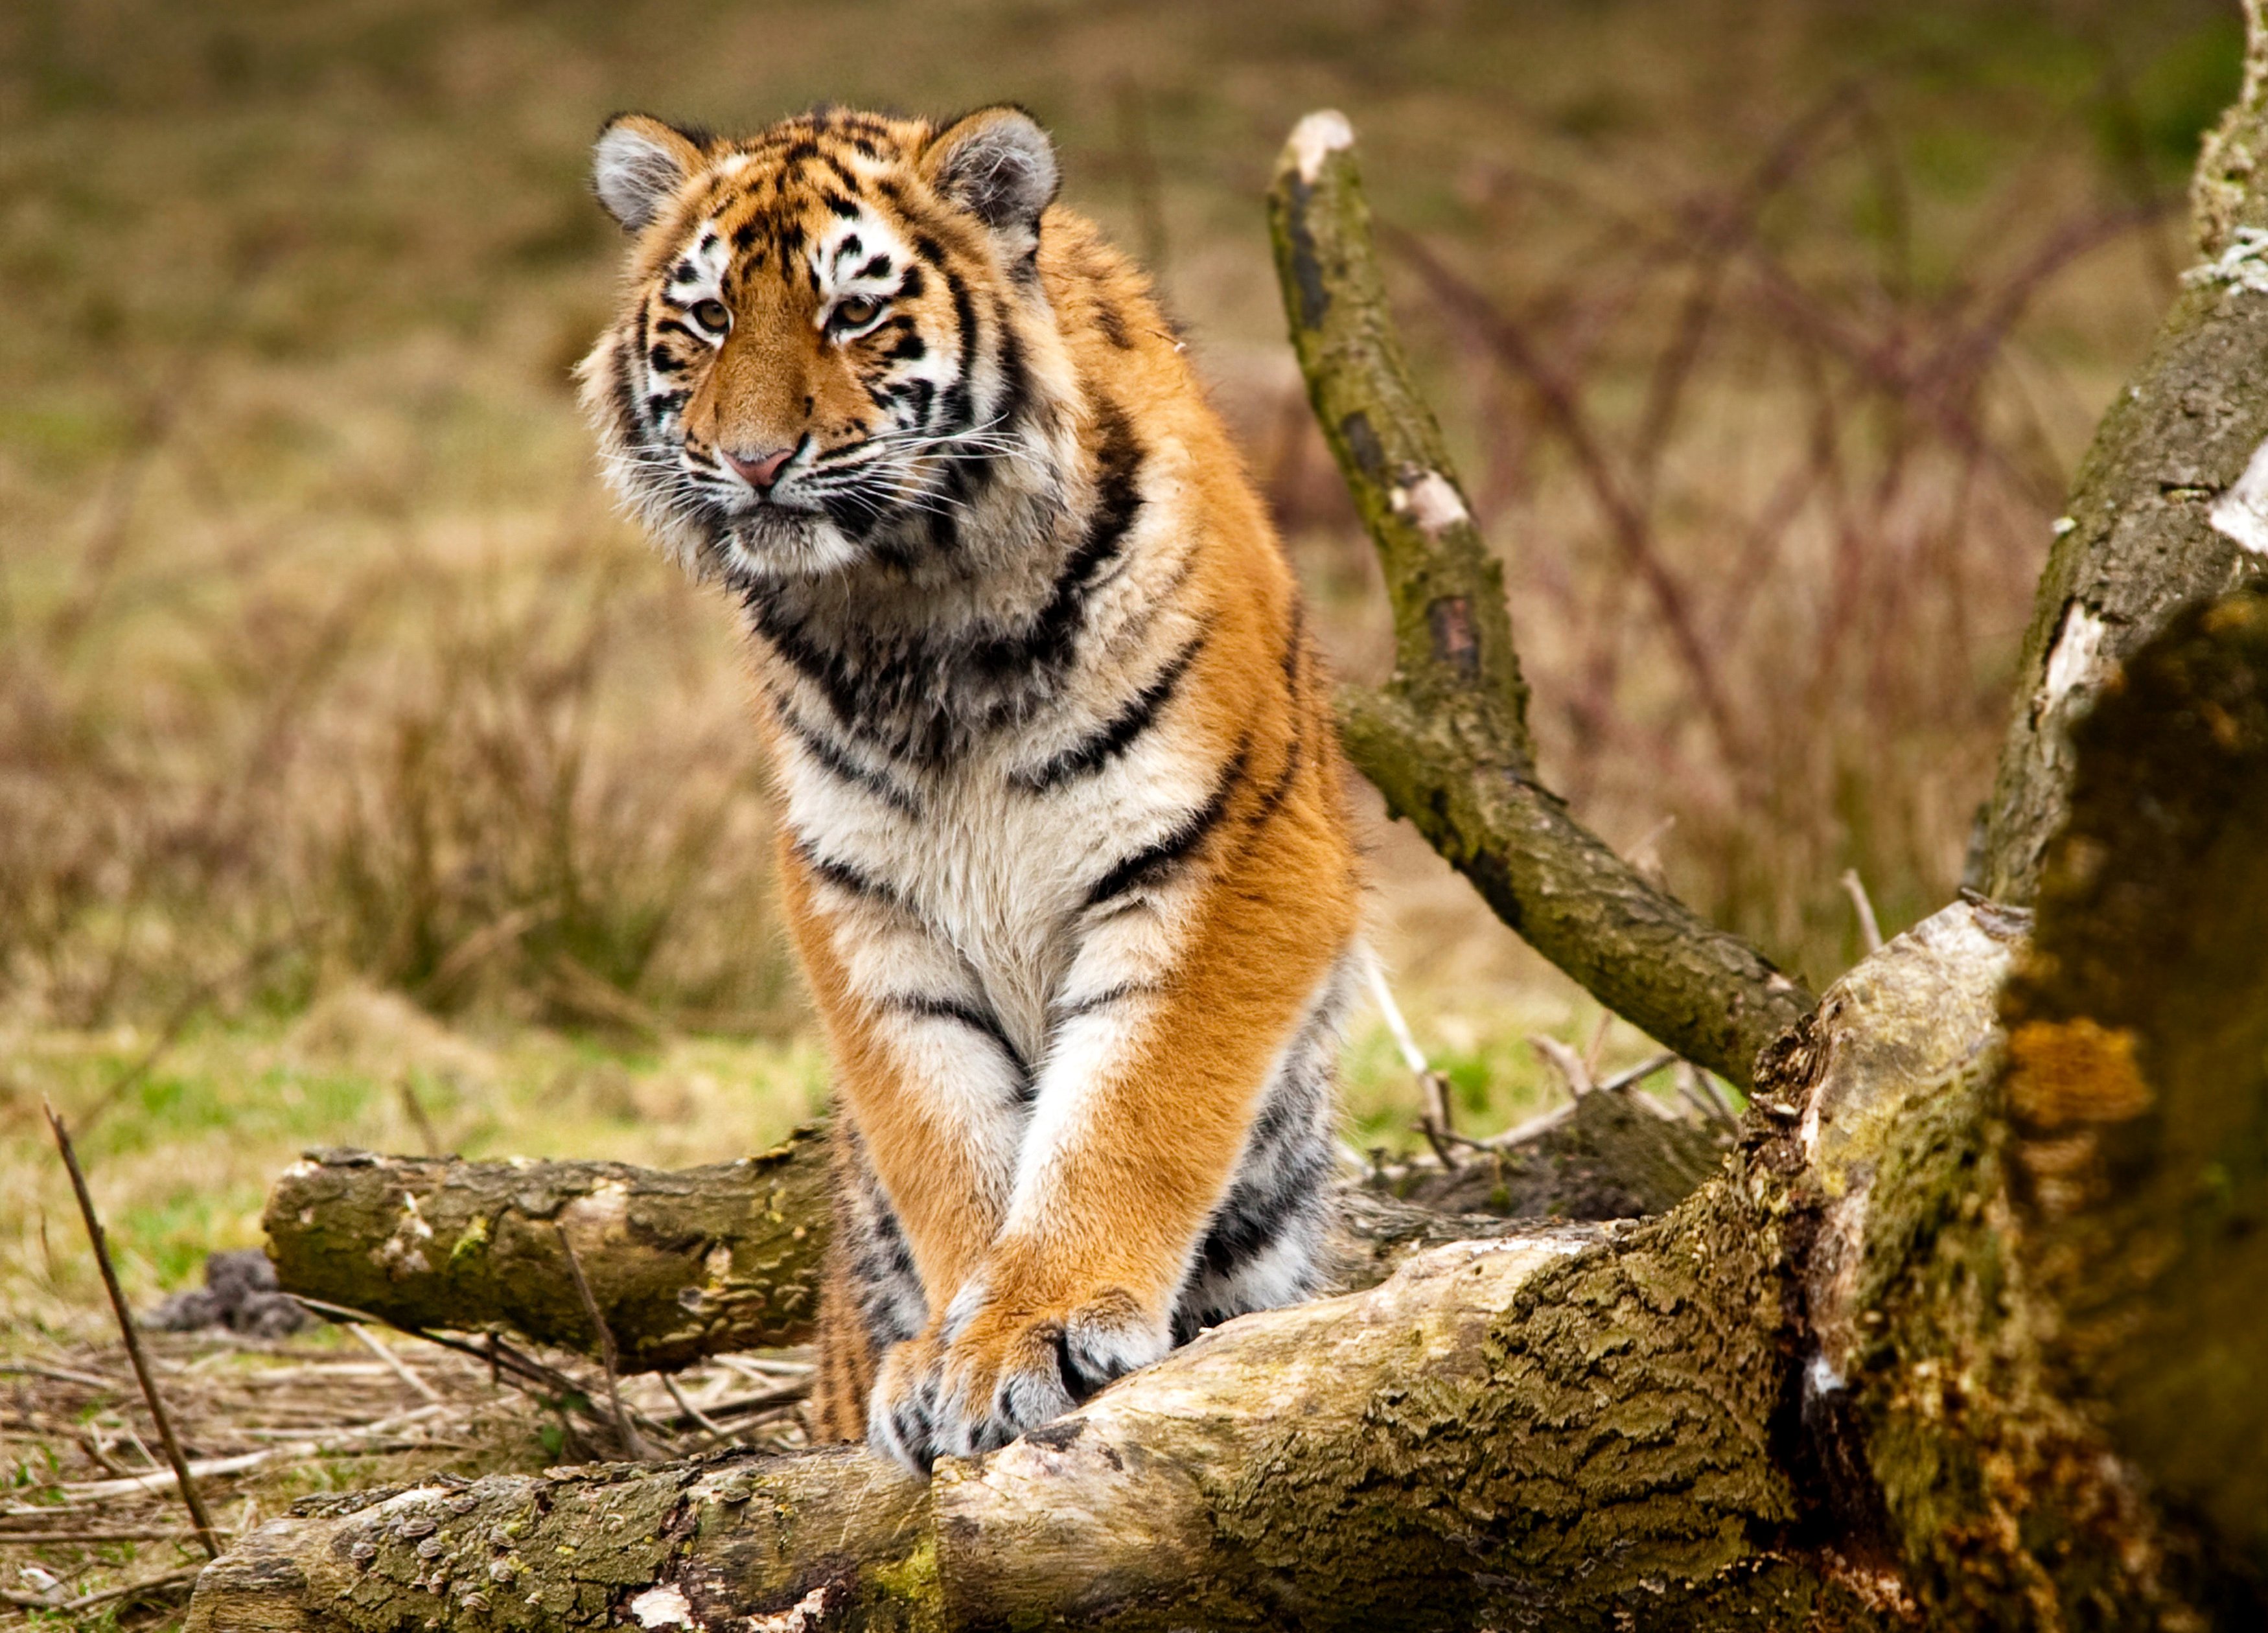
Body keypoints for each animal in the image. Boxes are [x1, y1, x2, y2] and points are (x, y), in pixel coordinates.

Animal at [581, 108, 1361, 1470]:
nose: (755, 461)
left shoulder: (1227, 849)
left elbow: (1127, 1109)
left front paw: (1031, 1333)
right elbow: (945, 1137)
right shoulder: (860, 899)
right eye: (710, 319)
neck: (913, 610)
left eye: (851, 314)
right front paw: (953, 1349)